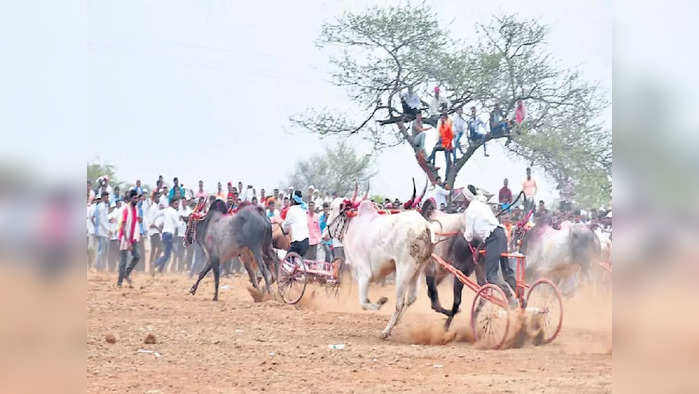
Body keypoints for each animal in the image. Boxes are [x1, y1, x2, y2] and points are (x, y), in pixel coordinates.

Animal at [326, 199, 434, 340]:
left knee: (399, 303)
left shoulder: (364, 274)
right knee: (410, 299)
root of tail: (425, 226)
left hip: (404, 270)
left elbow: (363, 303)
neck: (354, 227)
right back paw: (395, 324)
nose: (325, 229)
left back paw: (386, 331)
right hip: (418, 271)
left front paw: (381, 302)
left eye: (331, 209)